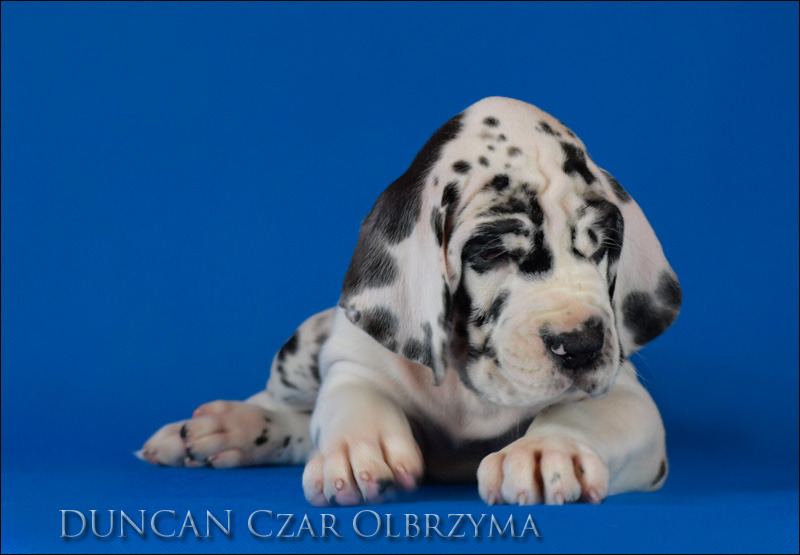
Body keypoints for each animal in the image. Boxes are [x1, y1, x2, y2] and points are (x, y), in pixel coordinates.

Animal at [138, 97, 681, 506]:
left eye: (604, 246)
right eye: (491, 252)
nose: (581, 344)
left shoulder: (627, 397)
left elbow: (582, 414)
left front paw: (549, 450)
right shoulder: (351, 357)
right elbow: (354, 395)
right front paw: (359, 447)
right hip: (300, 347)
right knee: (287, 406)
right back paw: (226, 425)